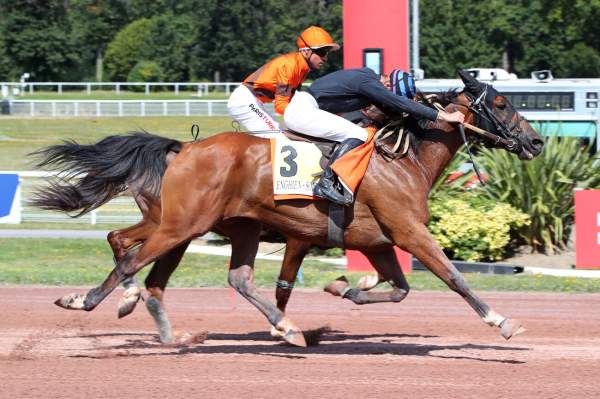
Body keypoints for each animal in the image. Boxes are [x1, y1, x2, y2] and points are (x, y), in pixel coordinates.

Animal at [31, 72, 544, 346]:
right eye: (501, 102)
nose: (537, 142)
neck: (403, 159)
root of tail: (183, 149)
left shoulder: (376, 240)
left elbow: (396, 289)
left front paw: (344, 286)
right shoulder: (407, 232)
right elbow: (454, 277)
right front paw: (502, 321)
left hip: (201, 227)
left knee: (171, 268)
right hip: (180, 224)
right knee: (131, 258)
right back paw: (89, 300)